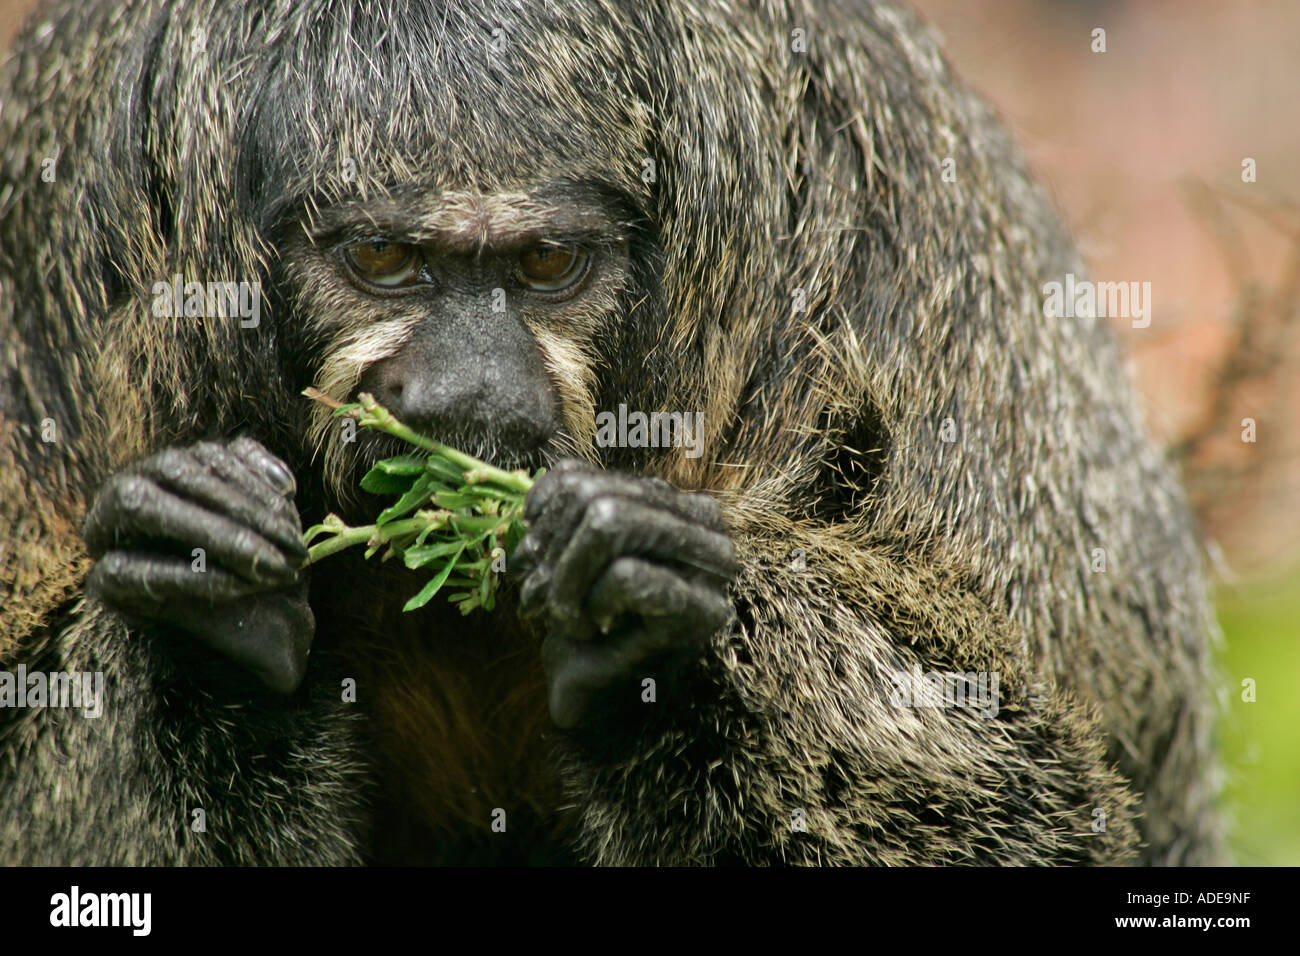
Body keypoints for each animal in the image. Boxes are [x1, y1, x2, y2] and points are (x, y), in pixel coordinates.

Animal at [0, 0, 1221, 866]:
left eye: (547, 263)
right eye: (385, 259)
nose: (469, 391)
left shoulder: (911, 252)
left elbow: (1042, 807)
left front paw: (651, 623)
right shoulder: (45, 230)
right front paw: (208, 617)